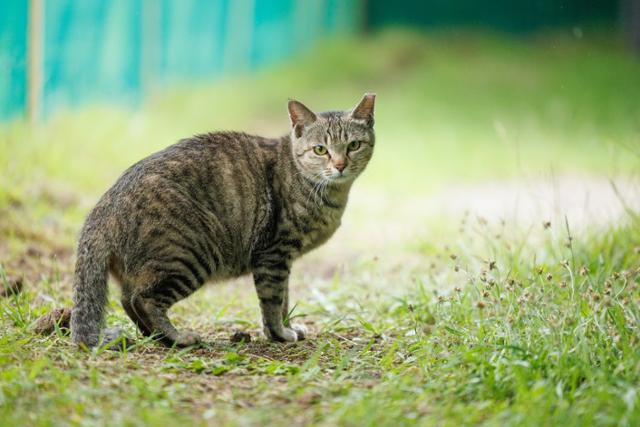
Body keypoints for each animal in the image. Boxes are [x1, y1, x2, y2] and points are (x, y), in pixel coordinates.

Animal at [71, 93, 376, 348]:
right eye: (320, 150)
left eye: (353, 145)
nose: (340, 165)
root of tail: (103, 208)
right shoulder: (274, 254)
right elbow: (273, 301)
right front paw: (279, 333)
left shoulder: (283, 260)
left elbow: (284, 298)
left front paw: (287, 328)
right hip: (191, 254)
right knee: (142, 299)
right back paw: (177, 337)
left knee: (127, 299)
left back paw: (156, 337)